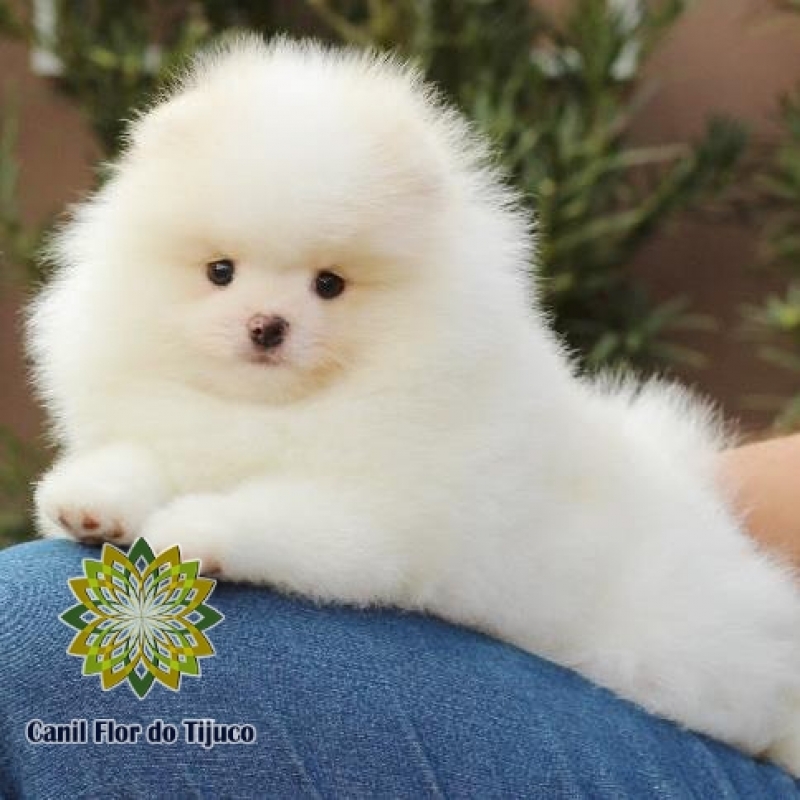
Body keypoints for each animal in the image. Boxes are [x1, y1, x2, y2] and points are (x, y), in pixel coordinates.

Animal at [26, 37, 800, 776]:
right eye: (221, 271)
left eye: (330, 284)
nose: (267, 326)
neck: (276, 410)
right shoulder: (181, 428)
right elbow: (140, 457)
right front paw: (90, 502)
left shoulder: (372, 520)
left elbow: (269, 512)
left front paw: (190, 529)